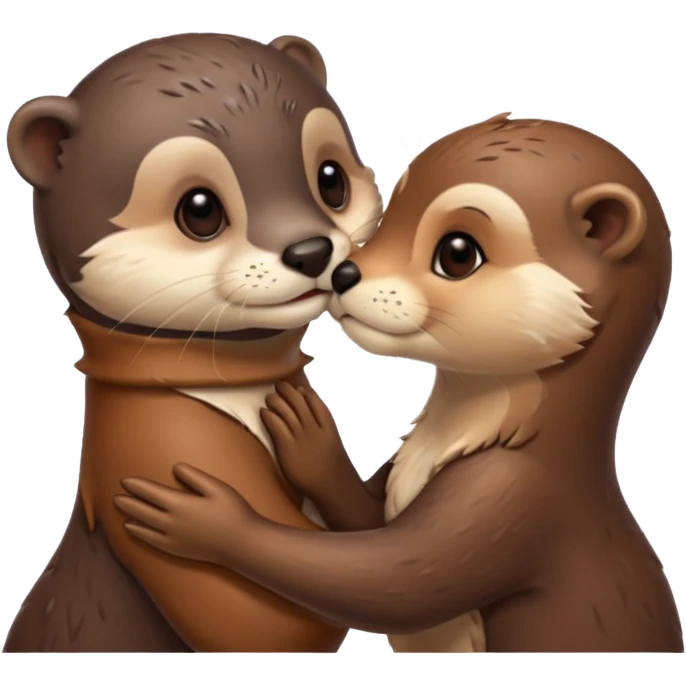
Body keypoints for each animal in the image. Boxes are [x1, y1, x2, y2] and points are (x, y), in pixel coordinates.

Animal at [112, 113, 683, 653]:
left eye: (458, 253)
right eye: (389, 215)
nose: (344, 272)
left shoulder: (508, 497)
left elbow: (394, 582)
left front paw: (214, 523)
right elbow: (367, 522)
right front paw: (311, 439)